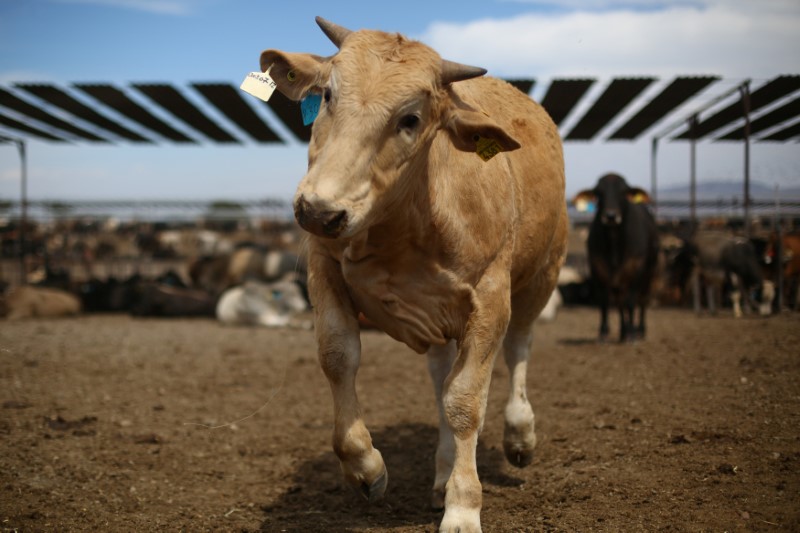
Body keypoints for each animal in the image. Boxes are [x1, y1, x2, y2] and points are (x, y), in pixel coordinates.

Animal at [260, 16, 564, 532]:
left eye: (410, 119)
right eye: (328, 95)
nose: (319, 210)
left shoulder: (491, 298)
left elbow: (466, 400)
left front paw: (463, 506)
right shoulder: (324, 267)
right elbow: (338, 357)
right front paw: (366, 467)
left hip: (542, 274)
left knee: (519, 348)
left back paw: (519, 436)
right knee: (441, 377)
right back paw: (441, 473)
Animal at [576, 172, 656, 342]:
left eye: (623, 192)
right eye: (599, 193)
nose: (611, 216)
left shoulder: (636, 269)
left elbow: (631, 301)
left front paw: (632, 333)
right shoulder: (597, 268)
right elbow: (605, 300)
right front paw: (604, 332)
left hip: (650, 272)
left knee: (642, 299)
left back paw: (639, 330)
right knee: (619, 301)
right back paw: (622, 332)